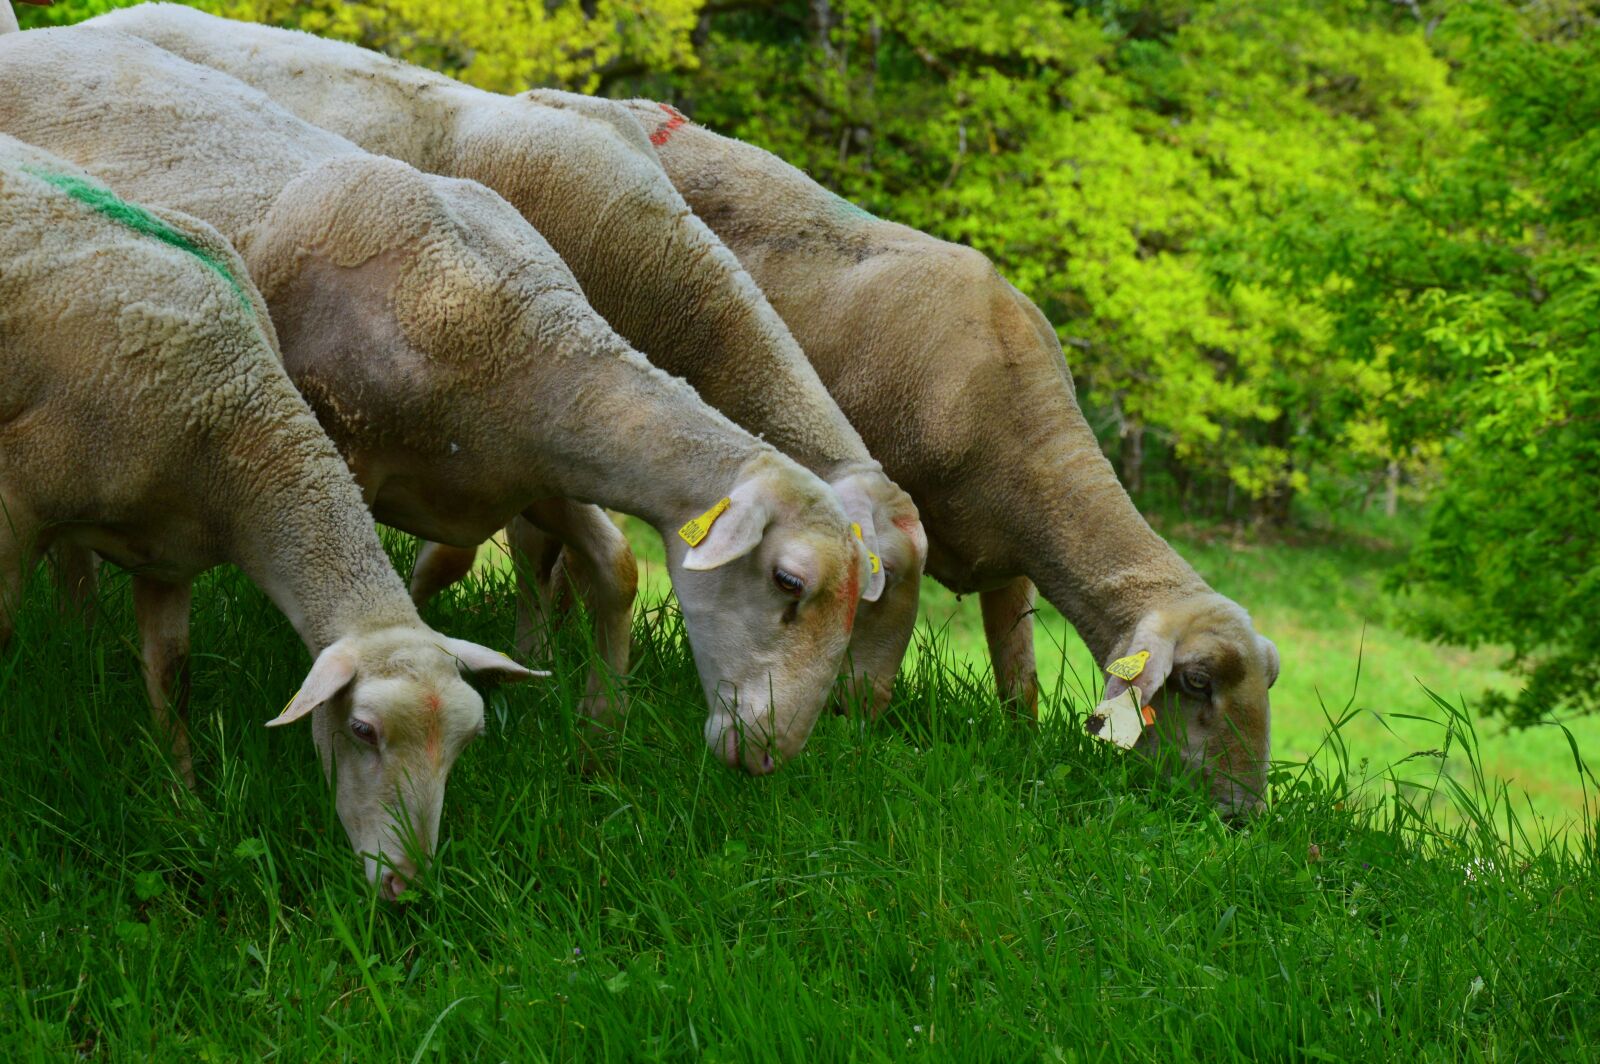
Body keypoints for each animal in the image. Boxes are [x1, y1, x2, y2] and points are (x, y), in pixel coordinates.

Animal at [0, 26, 869, 775]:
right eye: (789, 583)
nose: (771, 757)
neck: (513, 331)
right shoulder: (336, 453)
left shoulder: (525, 470)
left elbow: (612, 567)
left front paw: (598, 736)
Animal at [0, 132, 536, 898]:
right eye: (363, 731)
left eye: (467, 743)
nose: (407, 888)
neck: (238, 421)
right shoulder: (18, 500)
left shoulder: (167, 557)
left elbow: (172, 681)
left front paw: (187, 809)